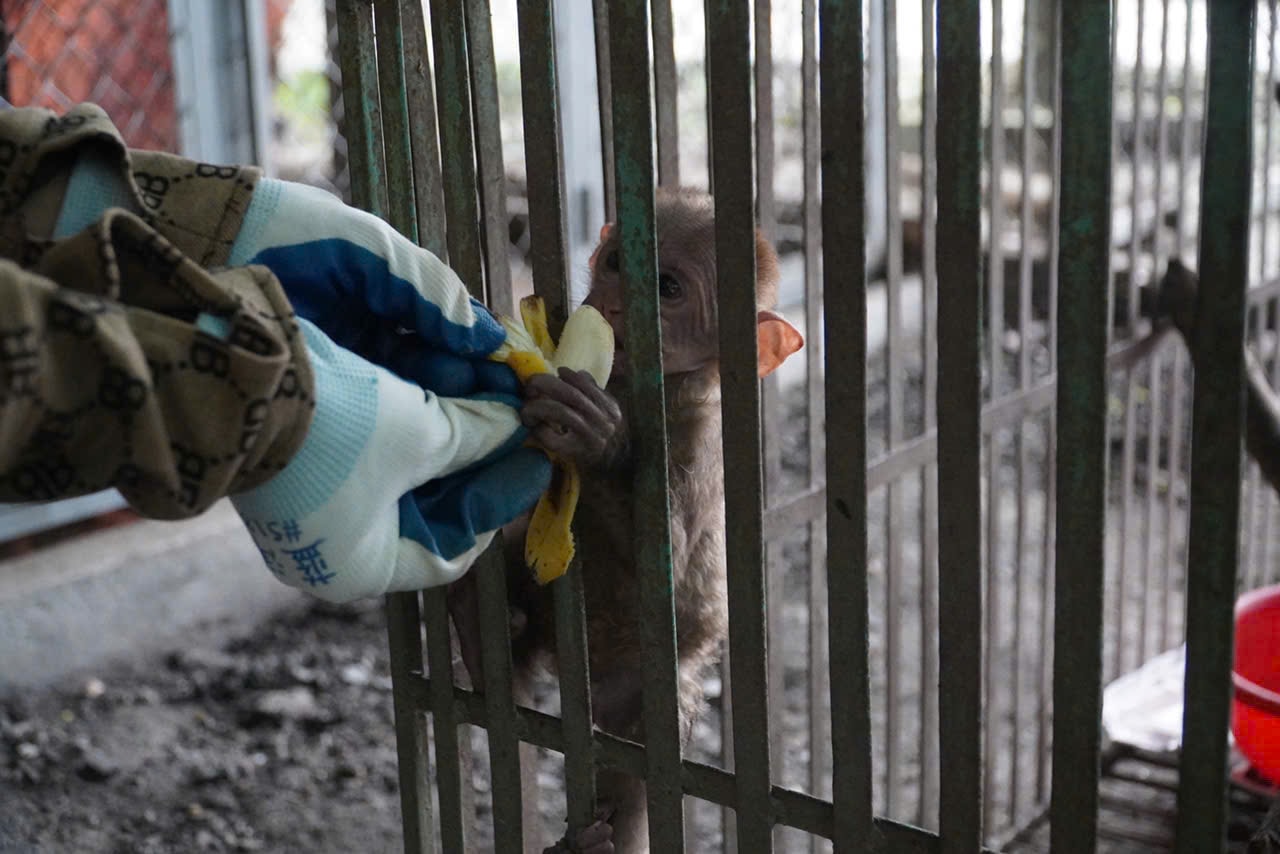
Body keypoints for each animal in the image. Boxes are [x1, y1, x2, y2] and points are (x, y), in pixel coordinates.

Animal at [448, 186, 804, 853]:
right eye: (616, 262)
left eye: (667, 288)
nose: (612, 301)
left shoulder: (698, 441)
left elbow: (670, 557)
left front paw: (596, 436)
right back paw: (486, 639)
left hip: (643, 687)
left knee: (636, 763)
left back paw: (598, 838)